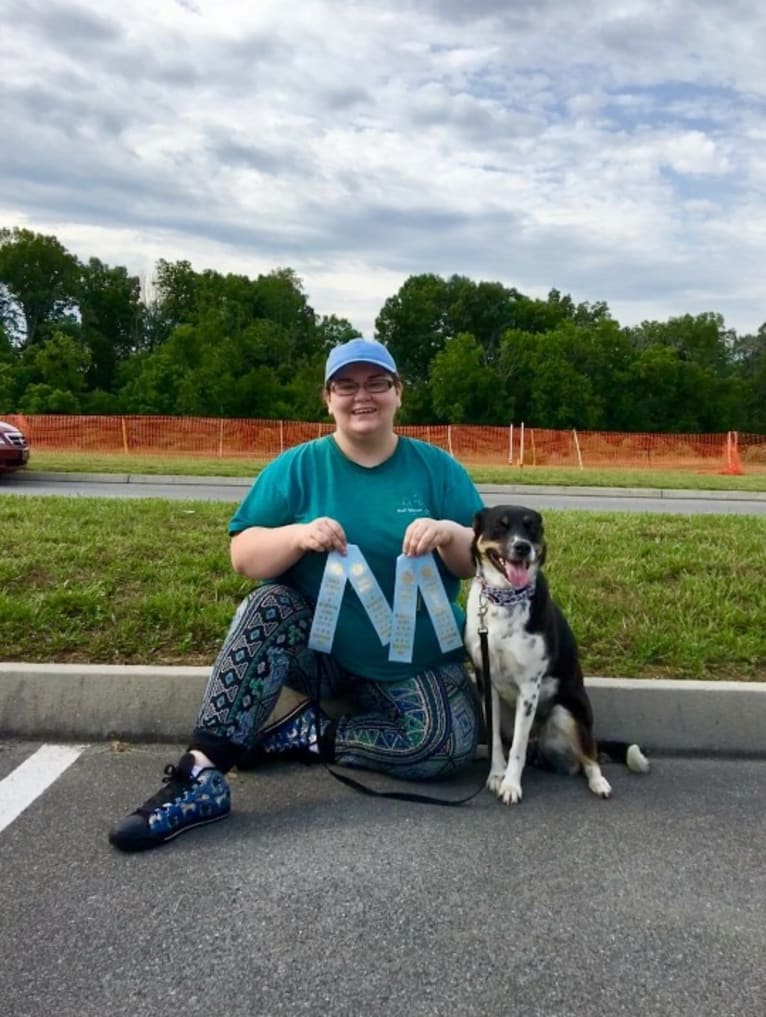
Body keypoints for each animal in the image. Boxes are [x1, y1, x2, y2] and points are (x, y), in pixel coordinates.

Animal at [463, 504, 646, 805]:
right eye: (500, 526)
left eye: (531, 528)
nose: (523, 547)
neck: (506, 599)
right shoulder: (485, 680)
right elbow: (496, 741)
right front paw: (497, 774)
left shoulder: (529, 687)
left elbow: (517, 749)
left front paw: (511, 785)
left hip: (567, 713)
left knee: (589, 757)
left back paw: (599, 782)